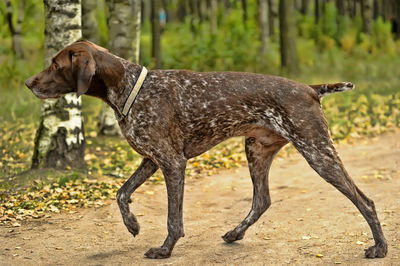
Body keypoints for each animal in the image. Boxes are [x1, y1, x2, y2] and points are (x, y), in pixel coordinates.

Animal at [25, 40, 388, 258]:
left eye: (56, 65)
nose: (28, 83)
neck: (129, 87)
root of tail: (310, 89)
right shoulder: (152, 159)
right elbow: (121, 193)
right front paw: (132, 225)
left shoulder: (172, 163)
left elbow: (173, 219)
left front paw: (165, 250)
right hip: (256, 150)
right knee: (262, 200)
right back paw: (235, 233)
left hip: (317, 151)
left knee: (365, 201)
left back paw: (379, 248)